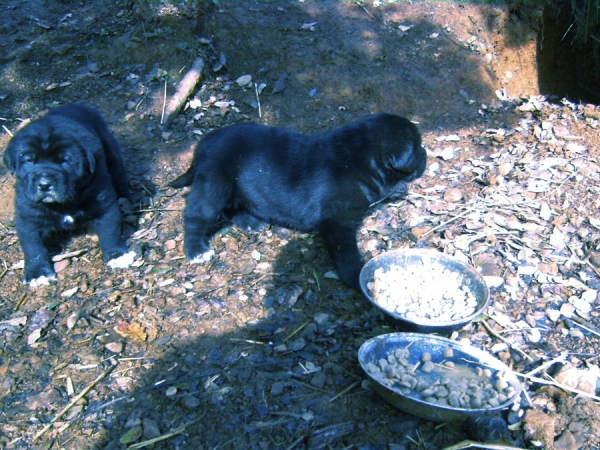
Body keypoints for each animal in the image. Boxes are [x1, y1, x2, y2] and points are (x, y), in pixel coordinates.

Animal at [2, 103, 135, 286]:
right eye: (29, 161)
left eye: (65, 160)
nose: (45, 184)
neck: (62, 204)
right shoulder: (28, 215)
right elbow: (33, 246)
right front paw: (37, 273)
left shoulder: (104, 204)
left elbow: (110, 231)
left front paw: (117, 255)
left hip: (111, 153)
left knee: (119, 176)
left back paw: (126, 201)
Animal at [171, 112, 428, 288]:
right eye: (417, 147)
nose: (426, 154)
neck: (360, 159)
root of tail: (202, 145)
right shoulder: (338, 224)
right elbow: (347, 255)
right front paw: (358, 278)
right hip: (215, 182)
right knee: (197, 213)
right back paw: (196, 250)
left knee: (229, 208)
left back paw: (250, 222)